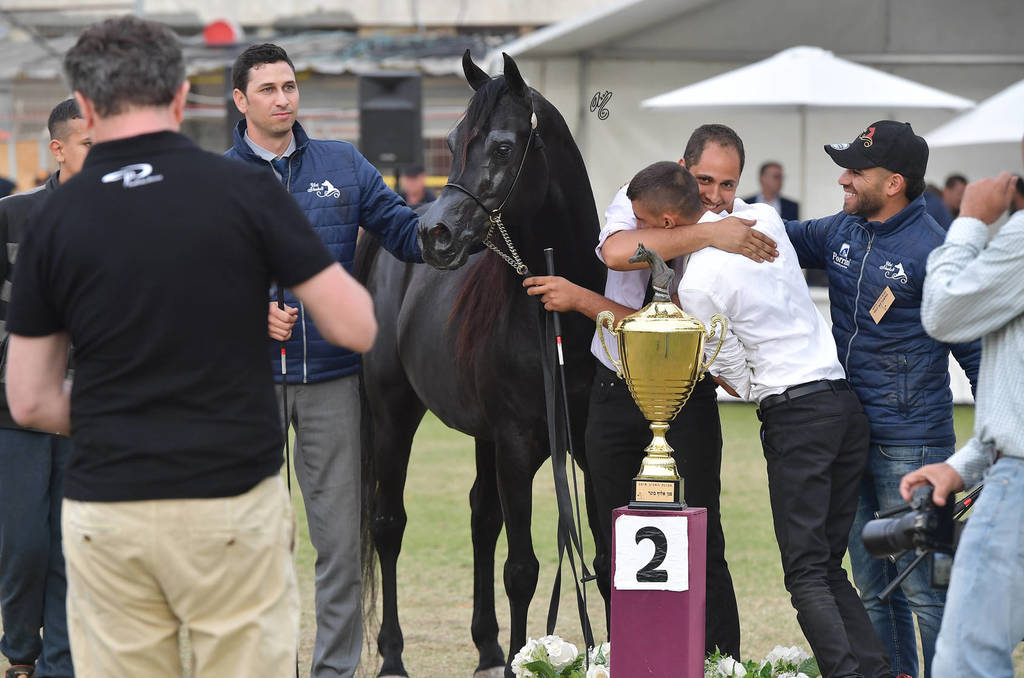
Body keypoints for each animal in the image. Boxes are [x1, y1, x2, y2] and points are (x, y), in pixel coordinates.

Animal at [354, 51, 606, 676]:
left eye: (502, 146)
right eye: (449, 141)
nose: (435, 235)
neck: (559, 317)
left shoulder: (589, 444)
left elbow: (606, 560)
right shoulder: (516, 446)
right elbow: (523, 570)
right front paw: (522, 656)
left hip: (481, 435)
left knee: (479, 517)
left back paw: (488, 647)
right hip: (394, 415)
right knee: (389, 525)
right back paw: (392, 656)